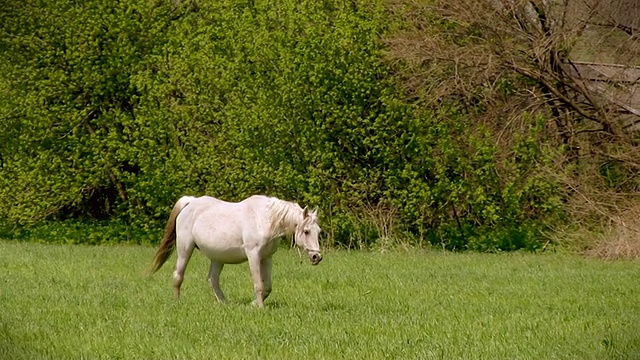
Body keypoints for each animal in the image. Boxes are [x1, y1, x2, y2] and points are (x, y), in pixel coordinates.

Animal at [149, 194, 320, 306]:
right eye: (306, 231)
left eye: (318, 231)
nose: (316, 257)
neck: (265, 219)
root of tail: (190, 203)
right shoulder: (253, 255)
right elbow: (258, 284)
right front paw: (260, 307)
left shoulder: (267, 257)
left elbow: (267, 287)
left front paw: (253, 304)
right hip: (185, 249)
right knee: (178, 275)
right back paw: (177, 302)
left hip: (217, 258)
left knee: (212, 279)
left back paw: (224, 303)